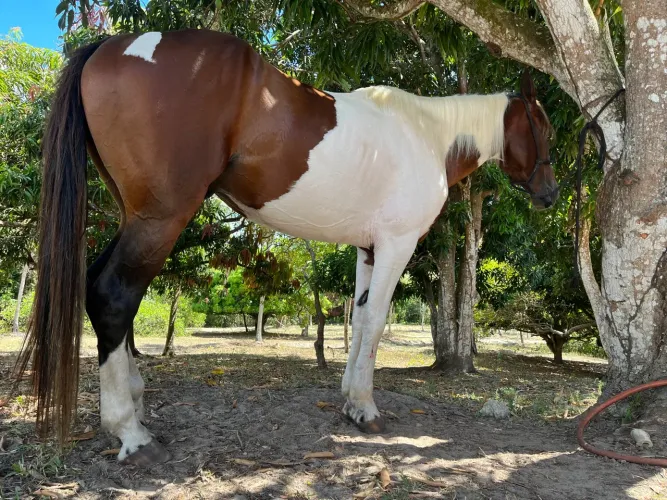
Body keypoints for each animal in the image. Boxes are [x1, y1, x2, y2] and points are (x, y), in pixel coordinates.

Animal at [15, 29, 558, 466]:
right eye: (545, 129)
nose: (551, 194)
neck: (427, 135)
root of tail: (109, 46)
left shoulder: (368, 249)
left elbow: (360, 317)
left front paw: (349, 401)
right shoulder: (396, 243)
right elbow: (376, 321)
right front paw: (366, 409)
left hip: (136, 216)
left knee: (107, 293)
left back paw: (136, 405)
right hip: (161, 218)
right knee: (114, 296)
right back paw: (130, 433)